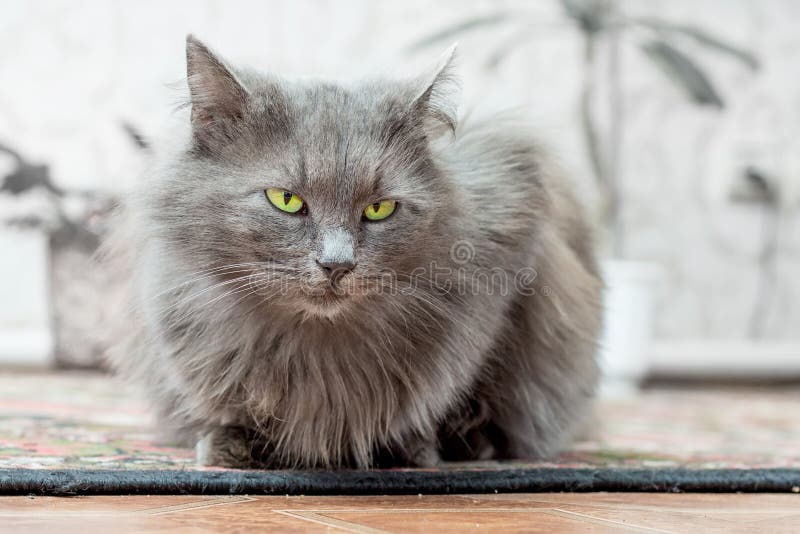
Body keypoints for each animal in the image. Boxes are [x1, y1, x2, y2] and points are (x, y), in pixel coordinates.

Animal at [109, 35, 604, 468]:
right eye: (285, 200)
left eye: (379, 209)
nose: (337, 264)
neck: (317, 350)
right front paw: (230, 445)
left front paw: (414, 446)